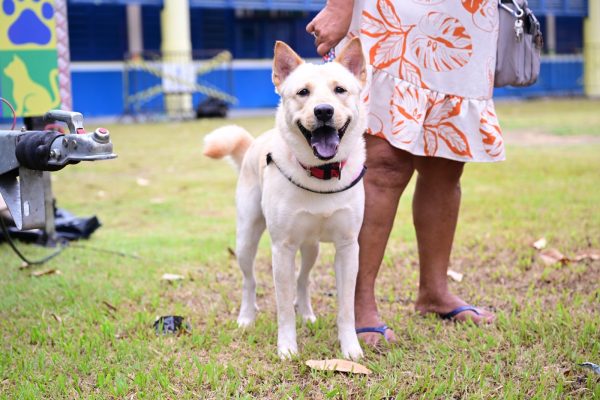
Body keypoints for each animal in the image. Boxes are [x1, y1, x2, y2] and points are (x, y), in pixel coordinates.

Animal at [203, 38, 367, 360]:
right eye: (303, 92)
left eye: (340, 90)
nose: (324, 111)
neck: (321, 173)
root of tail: (253, 143)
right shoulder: (282, 248)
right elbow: (282, 309)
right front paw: (288, 348)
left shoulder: (347, 247)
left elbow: (346, 308)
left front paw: (350, 348)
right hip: (246, 240)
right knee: (249, 281)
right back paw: (246, 317)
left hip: (312, 247)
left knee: (303, 280)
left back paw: (307, 313)